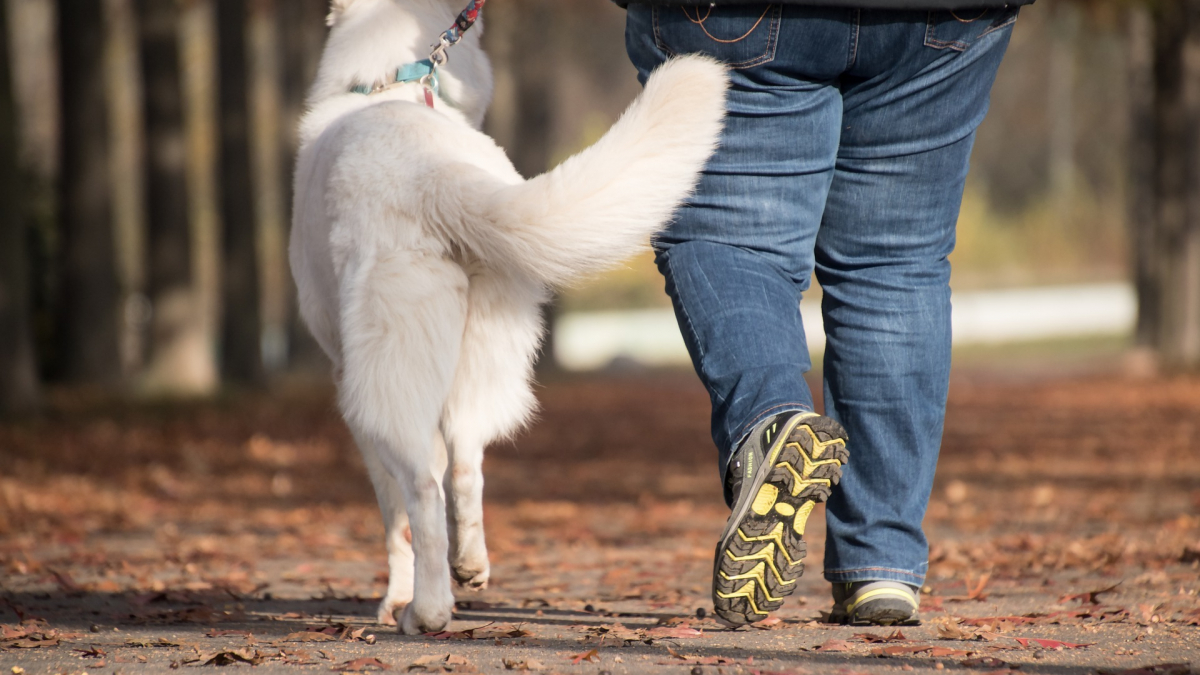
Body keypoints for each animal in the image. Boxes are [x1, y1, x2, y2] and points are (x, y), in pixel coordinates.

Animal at [292, 0, 720, 629]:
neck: (392, 82)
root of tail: (433, 174)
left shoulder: (347, 376)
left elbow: (393, 519)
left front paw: (393, 596)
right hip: (485, 354)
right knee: (466, 464)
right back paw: (469, 567)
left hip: (385, 382)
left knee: (423, 489)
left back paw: (425, 610)